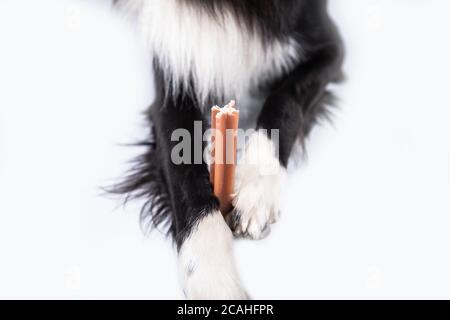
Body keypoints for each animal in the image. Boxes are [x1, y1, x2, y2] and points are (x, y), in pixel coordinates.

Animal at [111, 0, 342, 300]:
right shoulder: (173, 79)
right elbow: (184, 174)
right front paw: (212, 276)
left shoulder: (330, 47)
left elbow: (285, 100)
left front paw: (257, 188)